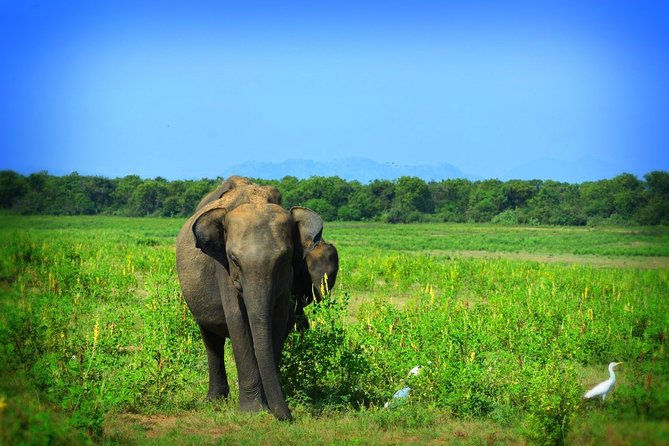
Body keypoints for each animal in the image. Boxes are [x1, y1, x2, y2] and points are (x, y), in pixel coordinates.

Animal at [175, 176, 336, 420]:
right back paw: (214, 400)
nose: (289, 416)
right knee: (211, 338)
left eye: (284, 259)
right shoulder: (223, 269)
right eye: (234, 259)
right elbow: (238, 322)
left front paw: (267, 407)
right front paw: (253, 411)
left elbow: (279, 321)